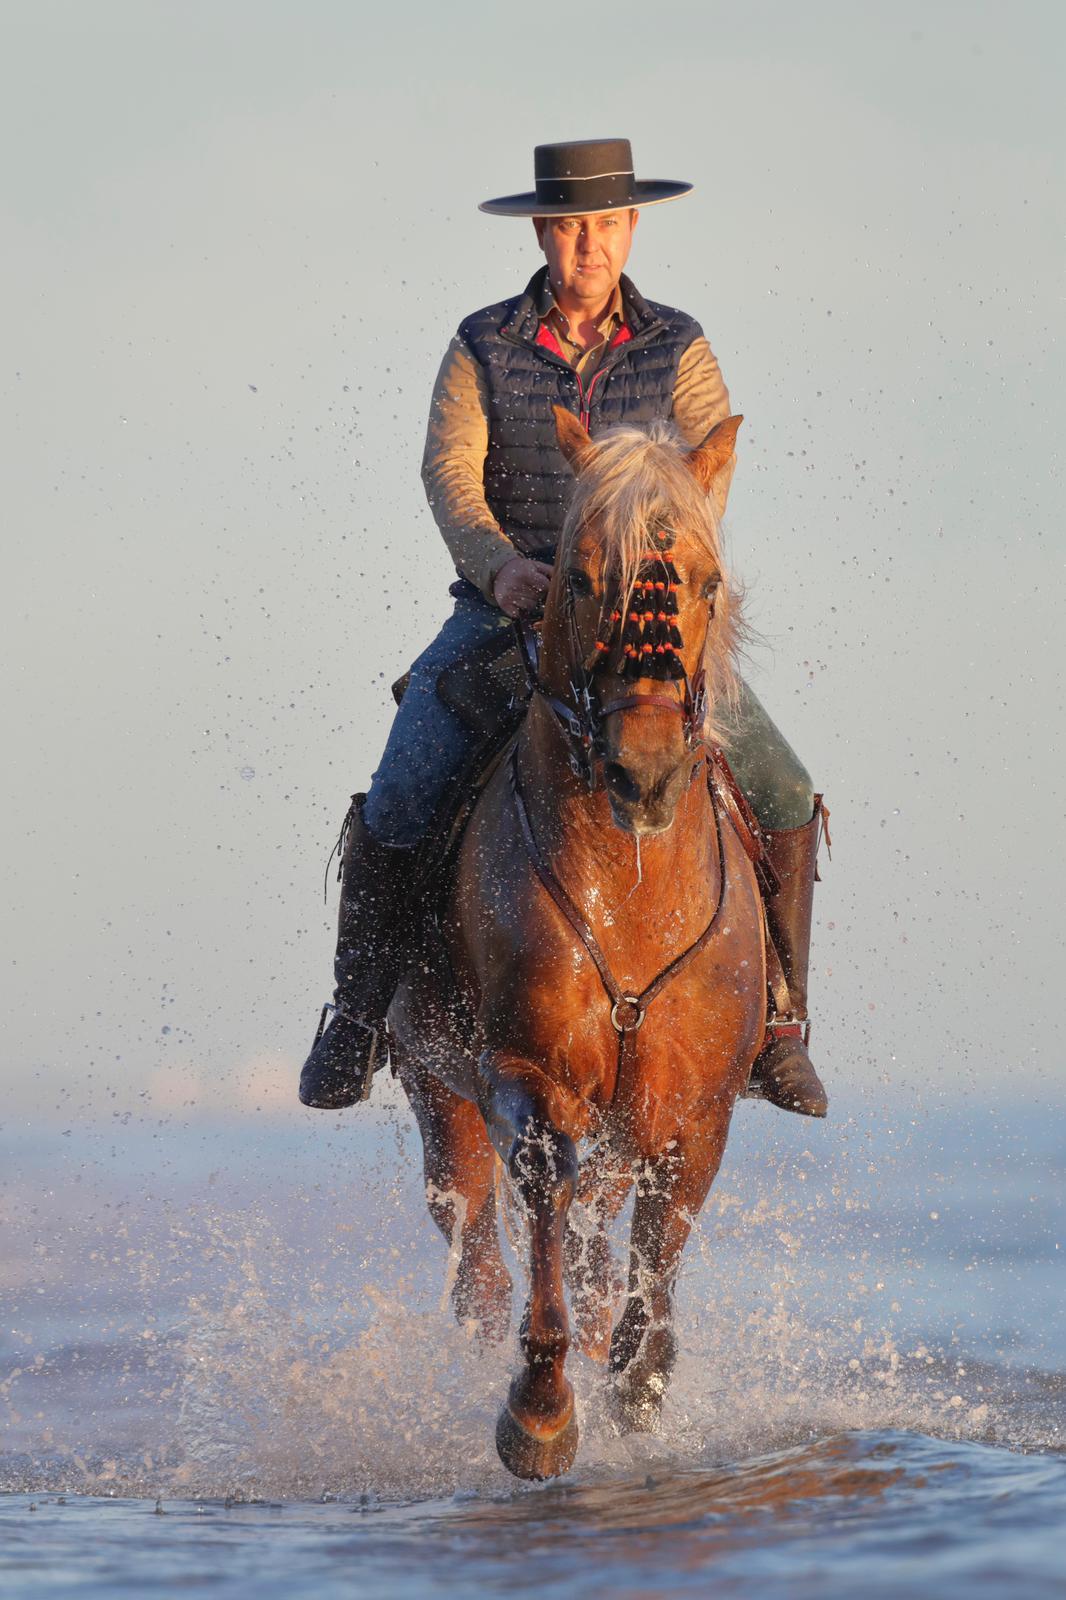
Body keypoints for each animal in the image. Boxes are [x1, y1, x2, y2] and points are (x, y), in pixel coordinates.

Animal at [389, 405, 765, 1480]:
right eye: (580, 576)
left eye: (708, 583)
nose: (645, 770)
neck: (630, 888)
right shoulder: (526, 1069)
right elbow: (543, 1194)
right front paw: (541, 1408)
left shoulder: (694, 1108)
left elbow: (658, 1242)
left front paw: (637, 1382)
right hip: (435, 1085)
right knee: (476, 1243)